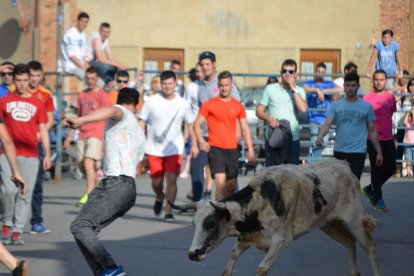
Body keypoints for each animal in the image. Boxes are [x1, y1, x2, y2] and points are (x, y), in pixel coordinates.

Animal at [173, 160, 380, 276]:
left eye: (210, 223)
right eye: (194, 224)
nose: (192, 254)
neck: (261, 199)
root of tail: (344, 166)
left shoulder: (281, 240)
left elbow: (261, 269)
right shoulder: (245, 240)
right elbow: (228, 266)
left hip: (353, 221)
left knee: (369, 246)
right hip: (330, 224)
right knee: (350, 243)